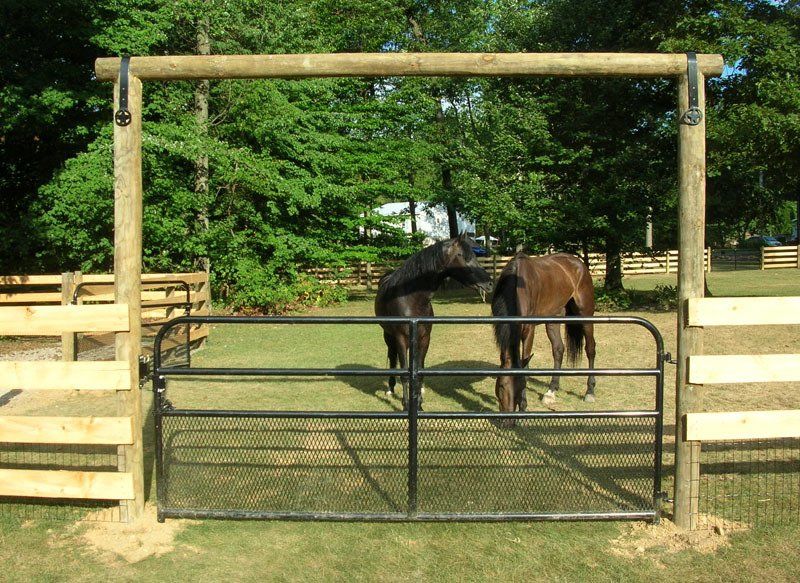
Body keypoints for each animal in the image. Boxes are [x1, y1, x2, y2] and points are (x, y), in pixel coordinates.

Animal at [374, 233, 493, 410]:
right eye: (465, 257)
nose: (490, 284)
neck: (411, 299)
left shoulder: (425, 339)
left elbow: (419, 371)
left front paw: (419, 404)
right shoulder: (401, 338)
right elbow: (404, 373)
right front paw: (406, 405)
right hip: (388, 335)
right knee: (392, 357)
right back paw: (390, 388)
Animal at [491, 252, 597, 412]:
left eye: (521, 387)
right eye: (501, 386)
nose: (509, 416)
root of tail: (578, 263)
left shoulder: (529, 330)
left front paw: (524, 406)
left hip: (585, 314)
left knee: (590, 348)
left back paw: (589, 392)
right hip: (554, 318)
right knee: (558, 349)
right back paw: (551, 391)